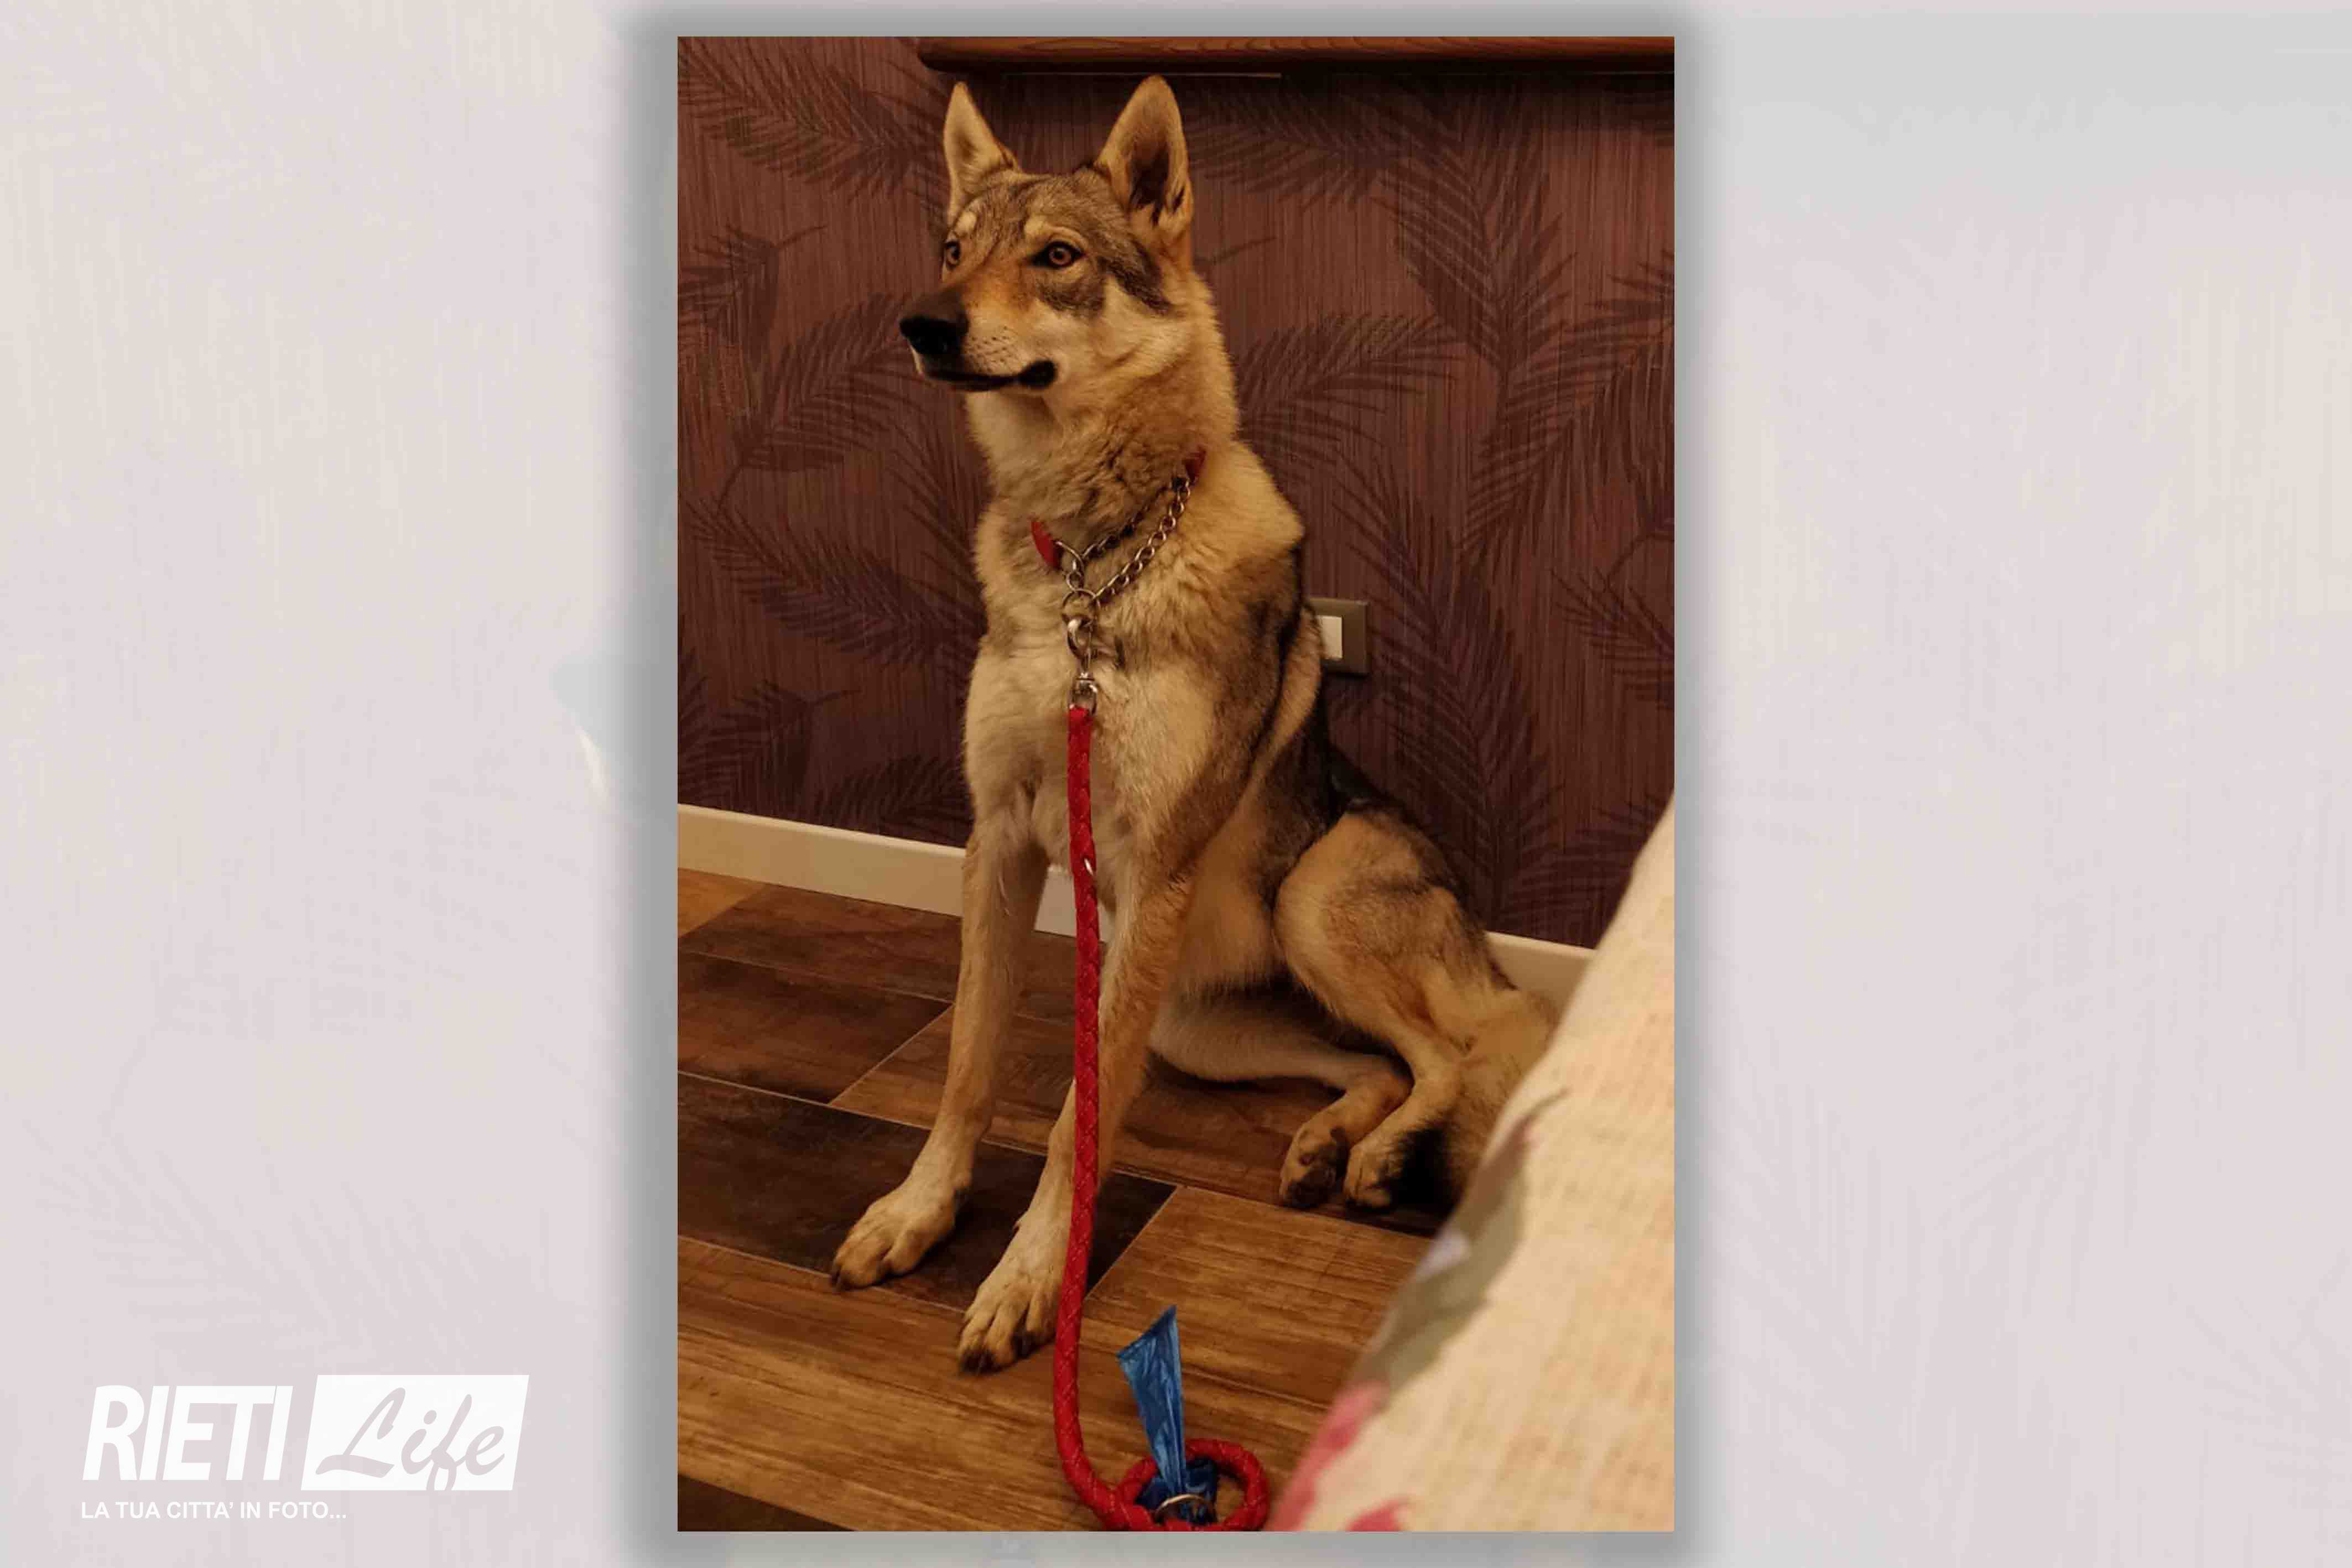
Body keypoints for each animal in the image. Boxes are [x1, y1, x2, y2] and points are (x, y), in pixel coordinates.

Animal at [830, 76, 1561, 1371]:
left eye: (1055, 257)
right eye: (954, 252)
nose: (921, 324)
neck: (1090, 566)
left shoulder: (1147, 876)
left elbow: (1073, 1124)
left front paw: (1029, 1279)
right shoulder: (998, 839)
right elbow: (966, 1065)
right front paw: (918, 1212)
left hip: (1305, 899)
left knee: (1451, 1051)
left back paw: (1379, 1159)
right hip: (1191, 1024)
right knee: (1376, 1063)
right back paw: (1329, 1144)